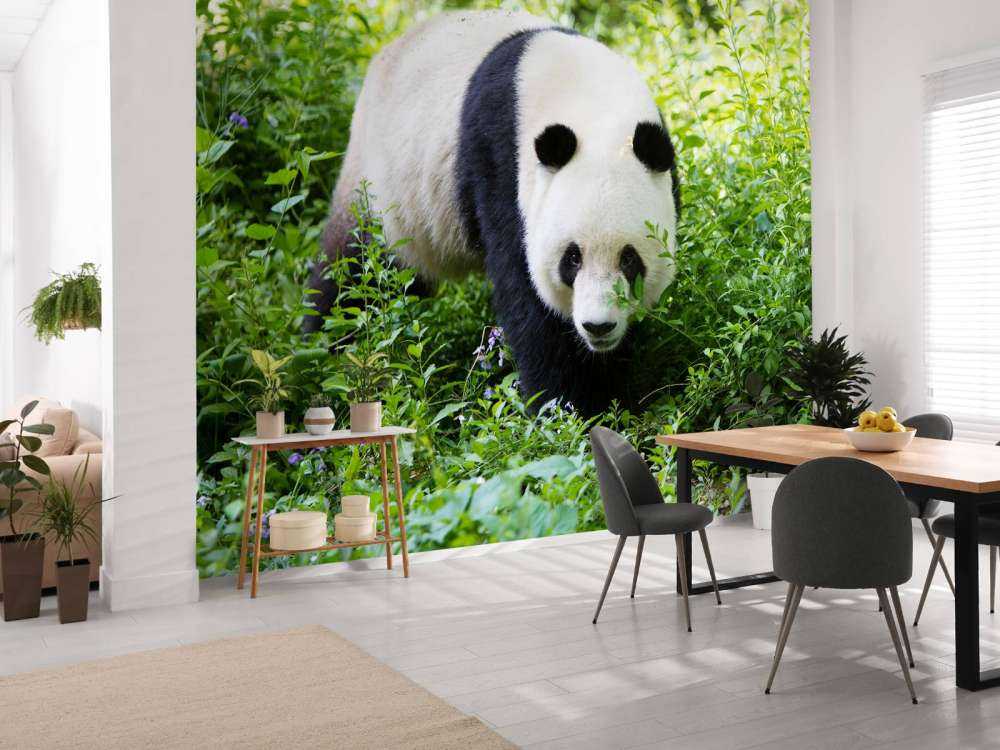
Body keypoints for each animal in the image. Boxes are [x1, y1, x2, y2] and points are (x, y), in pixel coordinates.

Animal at [307, 10, 680, 416]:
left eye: (629, 259)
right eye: (572, 258)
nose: (598, 327)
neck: (592, 104)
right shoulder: (502, 164)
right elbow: (531, 302)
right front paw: (571, 407)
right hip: (379, 188)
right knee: (352, 273)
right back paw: (325, 349)